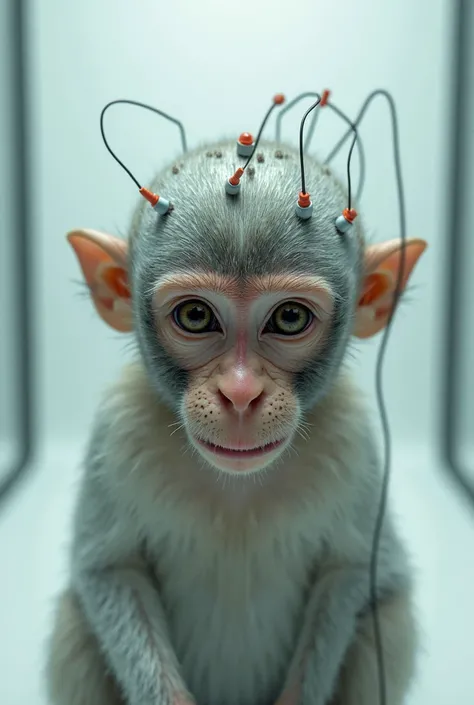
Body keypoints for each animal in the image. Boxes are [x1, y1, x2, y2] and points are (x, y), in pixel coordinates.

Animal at [45, 139, 426, 704]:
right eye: (196, 316)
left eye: (289, 318)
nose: (241, 394)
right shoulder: (117, 431)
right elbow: (108, 572)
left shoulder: (354, 442)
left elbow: (358, 571)